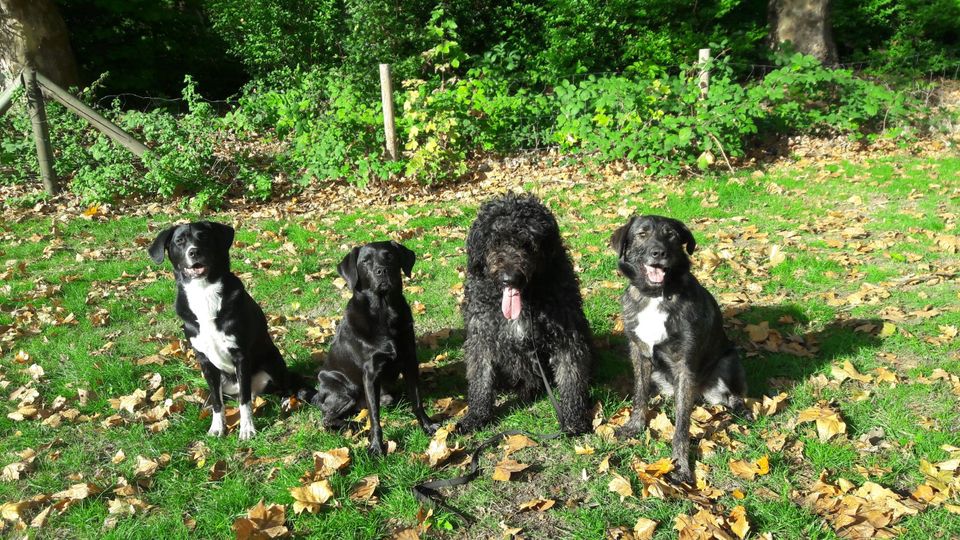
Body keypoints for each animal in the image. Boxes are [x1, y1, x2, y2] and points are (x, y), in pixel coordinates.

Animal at [312, 240, 438, 456]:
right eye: (365, 261)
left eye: (390, 256)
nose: (382, 271)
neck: (385, 313)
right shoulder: (370, 375)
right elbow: (375, 418)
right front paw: (377, 447)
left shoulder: (410, 362)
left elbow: (417, 400)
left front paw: (427, 426)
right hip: (345, 392)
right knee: (327, 419)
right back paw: (353, 426)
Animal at [458, 193, 592, 434]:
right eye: (496, 241)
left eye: (528, 242)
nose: (509, 278)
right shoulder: (481, 335)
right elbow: (480, 378)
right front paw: (476, 417)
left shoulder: (566, 334)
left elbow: (571, 376)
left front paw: (574, 419)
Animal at [612, 217, 752, 484]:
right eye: (642, 234)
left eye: (672, 236)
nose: (659, 253)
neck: (656, 296)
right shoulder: (639, 354)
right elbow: (639, 395)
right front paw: (635, 426)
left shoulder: (684, 366)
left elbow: (682, 425)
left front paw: (681, 466)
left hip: (729, 360)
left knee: (735, 395)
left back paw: (742, 410)